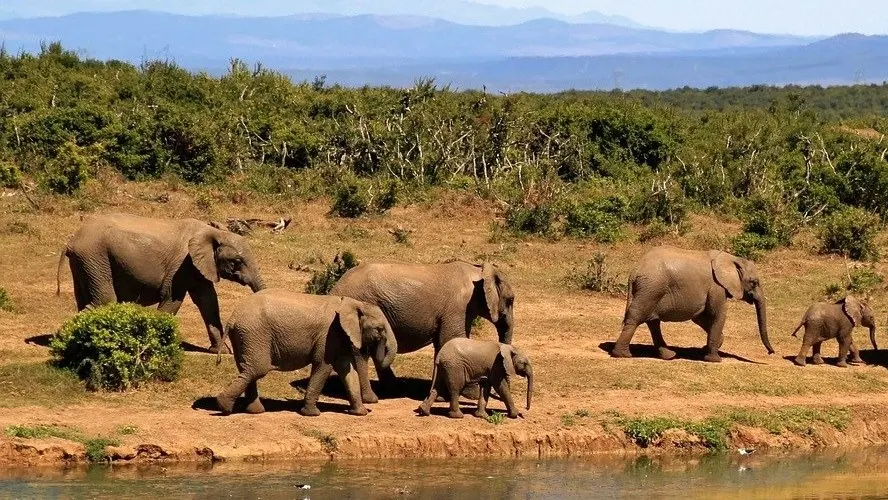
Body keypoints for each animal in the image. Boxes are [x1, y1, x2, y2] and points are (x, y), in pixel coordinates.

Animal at [56, 213, 265, 352]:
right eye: (236, 261)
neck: (213, 232)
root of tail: (71, 242)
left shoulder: (199, 267)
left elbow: (208, 301)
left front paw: (220, 352)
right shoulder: (182, 265)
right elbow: (172, 299)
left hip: (85, 262)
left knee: (86, 301)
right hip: (95, 257)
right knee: (104, 301)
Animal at [215, 289, 397, 417]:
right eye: (380, 329)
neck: (353, 303)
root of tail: (232, 318)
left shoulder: (338, 337)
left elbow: (347, 370)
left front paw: (360, 413)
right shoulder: (328, 335)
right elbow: (323, 366)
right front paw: (312, 414)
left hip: (245, 337)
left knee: (248, 369)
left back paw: (254, 411)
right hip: (254, 334)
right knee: (257, 369)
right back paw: (224, 406)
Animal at [330, 260, 514, 403]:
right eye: (510, 300)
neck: (478, 270)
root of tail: (335, 288)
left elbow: (443, 344)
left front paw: (441, 396)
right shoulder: (458, 307)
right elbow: (452, 338)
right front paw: (471, 396)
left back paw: (393, 389)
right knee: (361, 352)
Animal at [612, 246, 774, 362]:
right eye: (754, 282)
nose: (771, 352)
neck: (731, 258)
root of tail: (634, 271)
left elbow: (700, 317)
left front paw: (705, 349)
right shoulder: (716, 287)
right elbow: (718, 314)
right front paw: (714, 359)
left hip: (652, 290)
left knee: (653, 321)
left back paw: (669, 356)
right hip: (651, 288)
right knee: (636, 317)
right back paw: (623, 355)